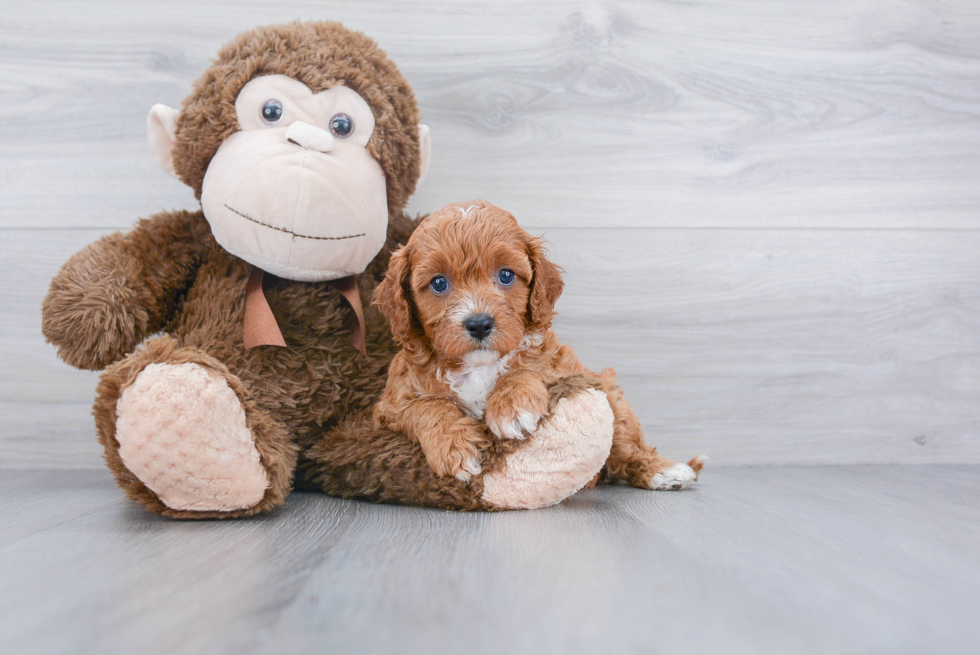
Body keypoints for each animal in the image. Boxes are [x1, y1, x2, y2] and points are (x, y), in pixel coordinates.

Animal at [376, 200, 704, 492]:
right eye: (439, 283)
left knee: (626, 447)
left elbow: (528, 363)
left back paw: (662, 470)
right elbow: (427, 407)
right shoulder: (390, 406)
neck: (478, 365)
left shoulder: (562, 365)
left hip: (611, 395)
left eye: (506, 275)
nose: (479, 323)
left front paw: (512, 405)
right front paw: (454, 446)